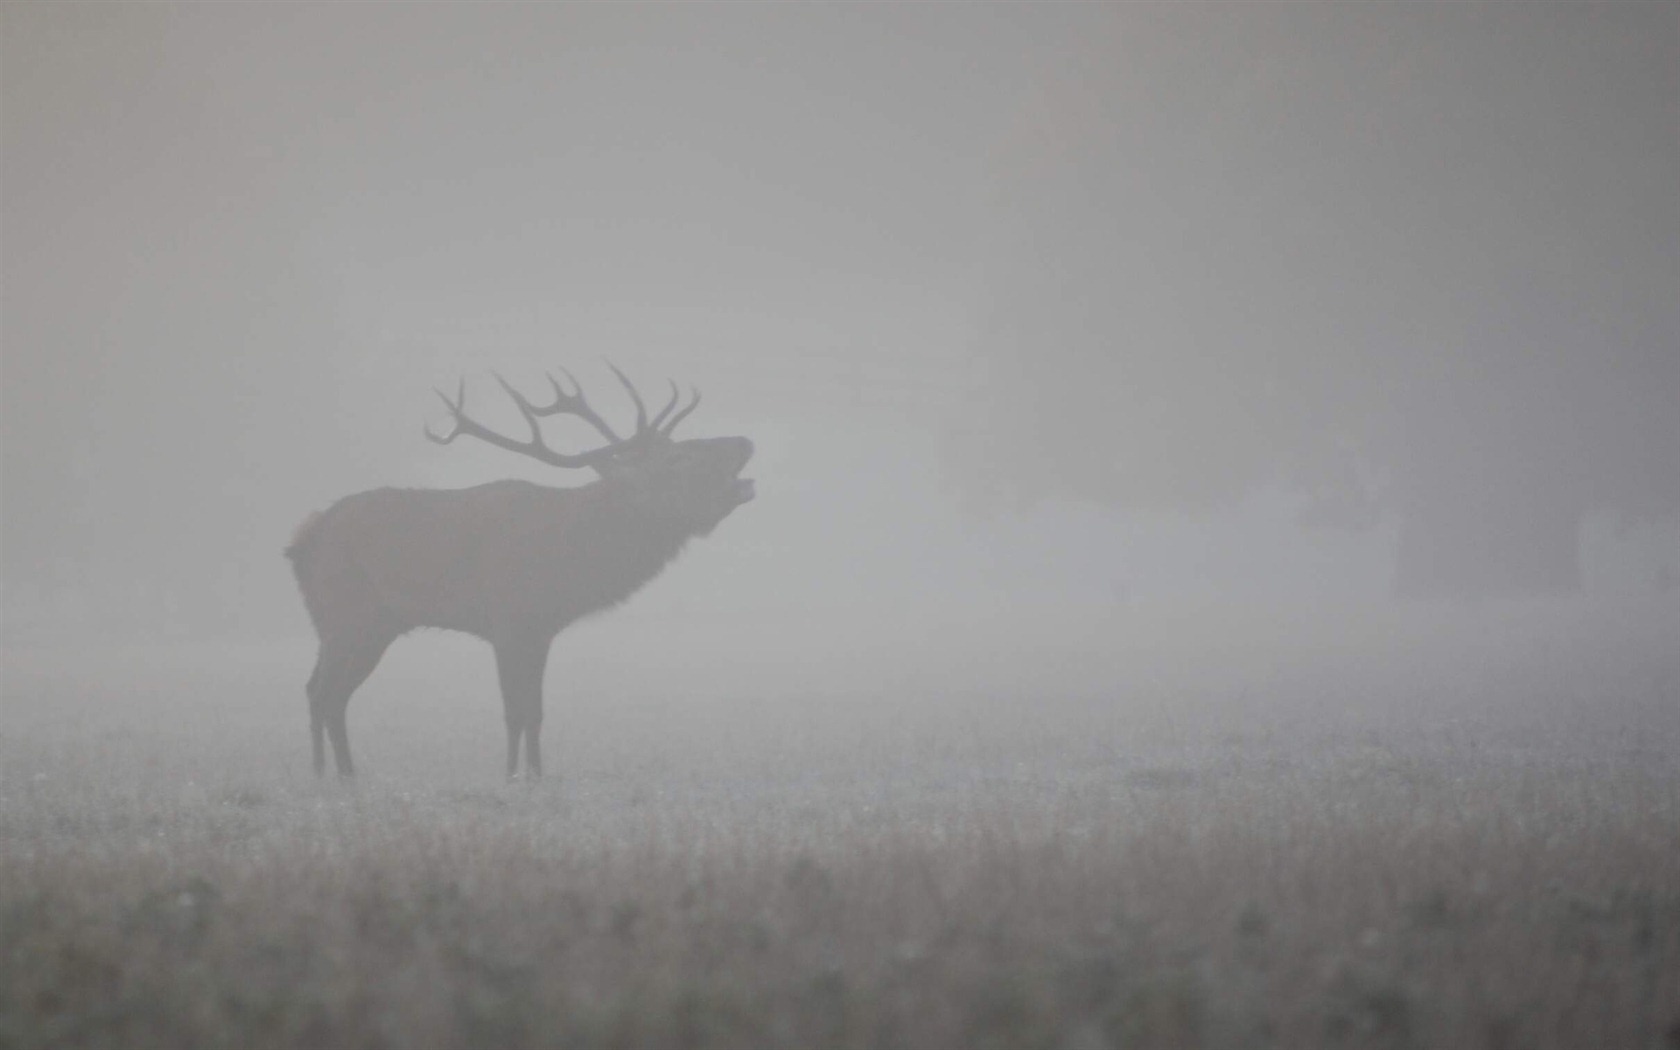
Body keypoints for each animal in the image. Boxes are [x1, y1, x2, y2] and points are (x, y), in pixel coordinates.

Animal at [287, 364, 756, 772]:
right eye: (680, 458)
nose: (744, 441)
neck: (569, 560)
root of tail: (301, 540)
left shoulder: (541, 630)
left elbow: (536, 711)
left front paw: (536, 776)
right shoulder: (509, 622)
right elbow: (514, 710)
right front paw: (512, 777)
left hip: (364, 625)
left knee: (324, 692)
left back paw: (337, 775)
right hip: (347, 615)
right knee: (323, 692)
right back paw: (332, 777)